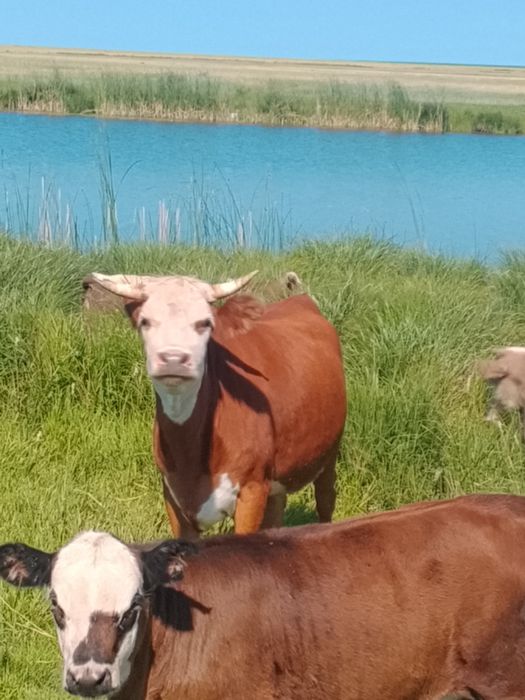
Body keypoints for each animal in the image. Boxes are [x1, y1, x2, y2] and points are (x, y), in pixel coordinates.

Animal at [85, 270, 347, 538]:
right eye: (145, 321)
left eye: (205, 323)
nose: (173, 359)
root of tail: (299, 299)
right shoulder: (172, 494)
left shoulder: (252, 490)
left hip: (329, 453)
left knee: (326, 499)